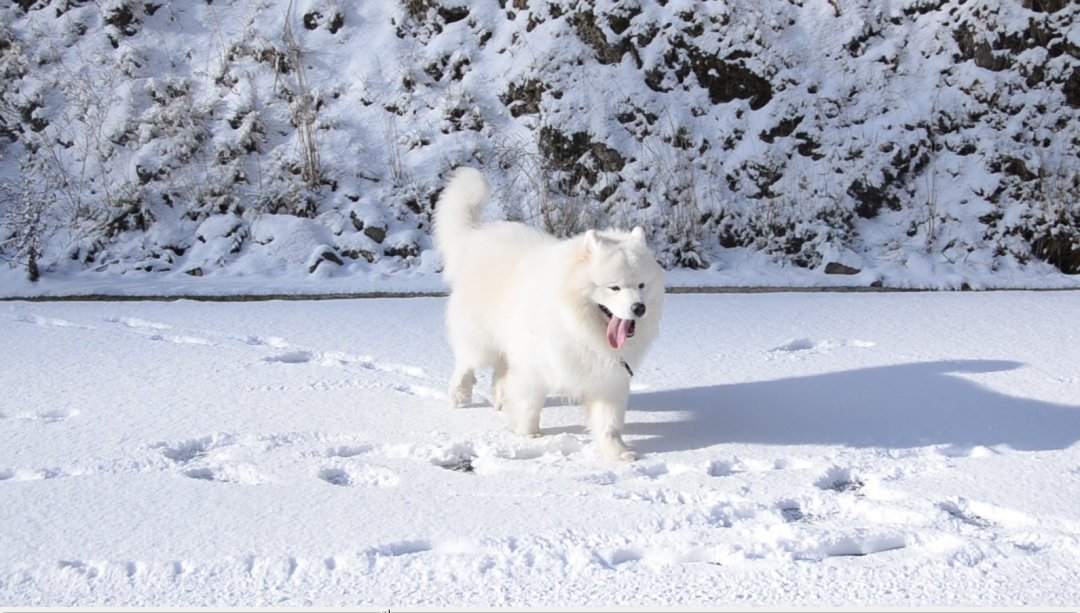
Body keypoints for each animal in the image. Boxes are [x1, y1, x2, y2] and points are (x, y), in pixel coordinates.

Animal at [434, 167, 660, 459]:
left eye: (642, 285)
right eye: (614, 287)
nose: (638, 308)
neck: (577, 324)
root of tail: (477, 235)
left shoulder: (608, 378)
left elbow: (608, 421)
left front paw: (617, 452)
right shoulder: (533, 366)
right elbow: (529, 404)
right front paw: (528, 435)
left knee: (500, 372)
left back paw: (499, 399)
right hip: (481, 337)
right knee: (467, 361)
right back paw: (460, 394)